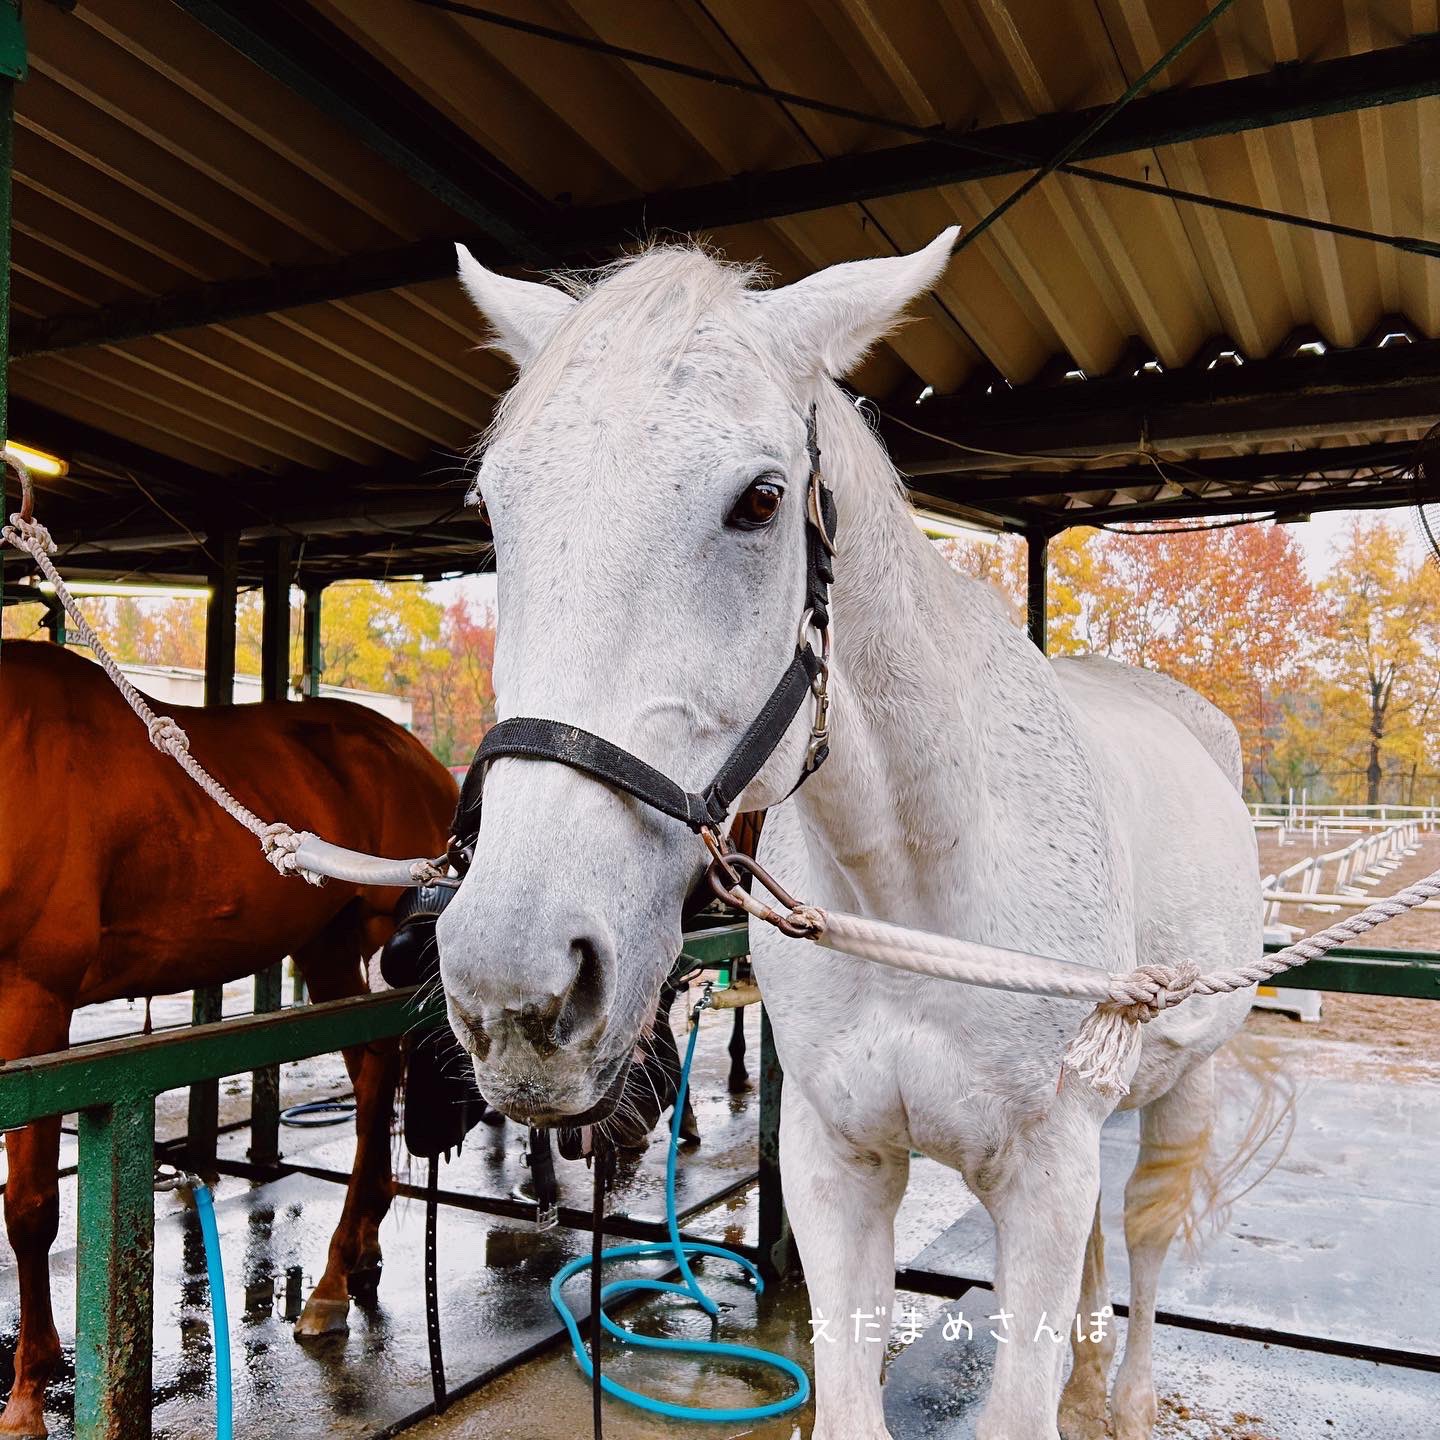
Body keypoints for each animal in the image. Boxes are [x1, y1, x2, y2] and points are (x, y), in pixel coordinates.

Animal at [0, 645, 455, 1440]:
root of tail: (412, 752)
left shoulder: (35, 1003)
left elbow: (29, 1209)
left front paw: (27, 1396)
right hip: (327, 948)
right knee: (372, 1071)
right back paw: (357, 1254)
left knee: (375, 1081)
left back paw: (330, 1283)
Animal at [437, 236, 1261, 1440]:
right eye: (494, 509)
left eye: (761, 500)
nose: (515, 984)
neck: (913, 886)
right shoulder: (837, 1168)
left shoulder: (1045, 1177)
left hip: (1188, 1083)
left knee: (1148, 1234)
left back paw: (1134, 1392)